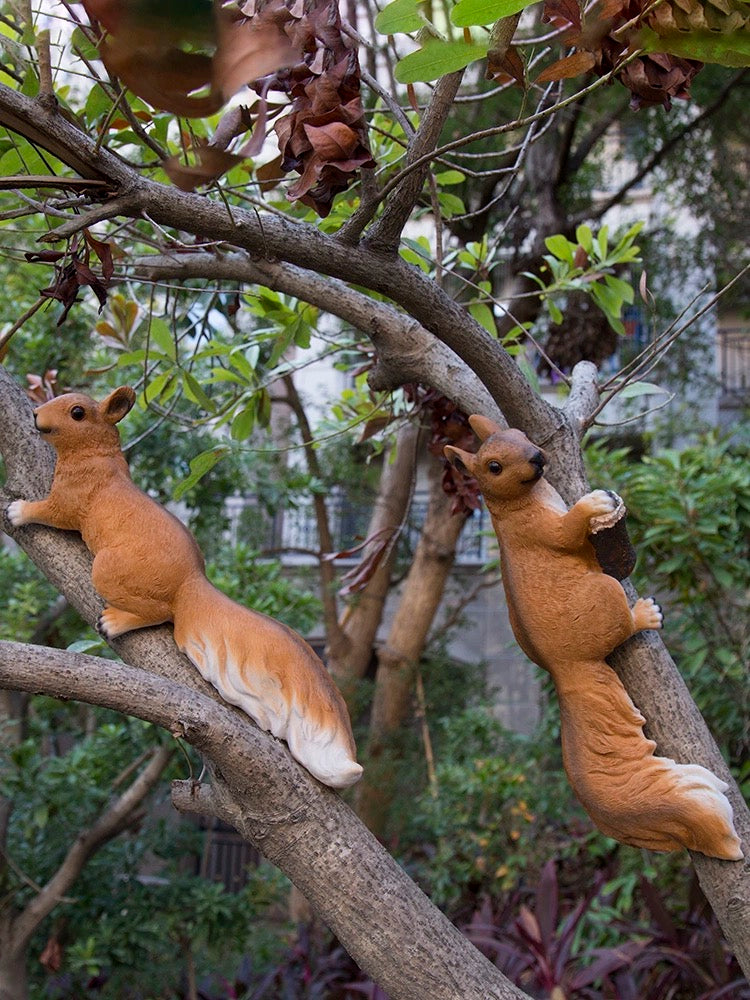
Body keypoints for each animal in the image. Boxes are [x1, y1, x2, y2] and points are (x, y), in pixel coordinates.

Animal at [8, 388, 364, 788]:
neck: (97, 458)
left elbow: (50, 511)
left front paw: (18, 511)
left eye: (77, 413)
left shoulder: (69, 501)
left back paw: (115, 622)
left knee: (159, 612)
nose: (36, 414)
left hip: (107, 570)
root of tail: (191, 585)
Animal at [446, 414, 748, 860]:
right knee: (621, 627)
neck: (524, 501)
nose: (537, 458)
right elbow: (566, 531)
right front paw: (593, 506)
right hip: (603, 597)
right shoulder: (540, 531)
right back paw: (643, 615)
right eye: (494, 467)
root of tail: (565, 667)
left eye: (520, 435)